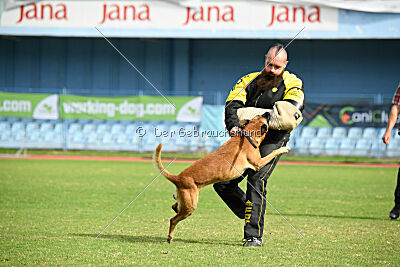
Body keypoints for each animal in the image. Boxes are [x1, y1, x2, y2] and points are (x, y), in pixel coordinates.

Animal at [153, 115, 290, 243]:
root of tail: (178, 177)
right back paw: (170, 237)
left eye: (259, 116)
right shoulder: (259, 163)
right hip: (190, 205)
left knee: (174, 207)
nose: (267, 112)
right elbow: (273, 153)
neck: (247, 135)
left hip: (186, 201)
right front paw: (283, 149)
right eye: (266, 118)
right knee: (173, 220)